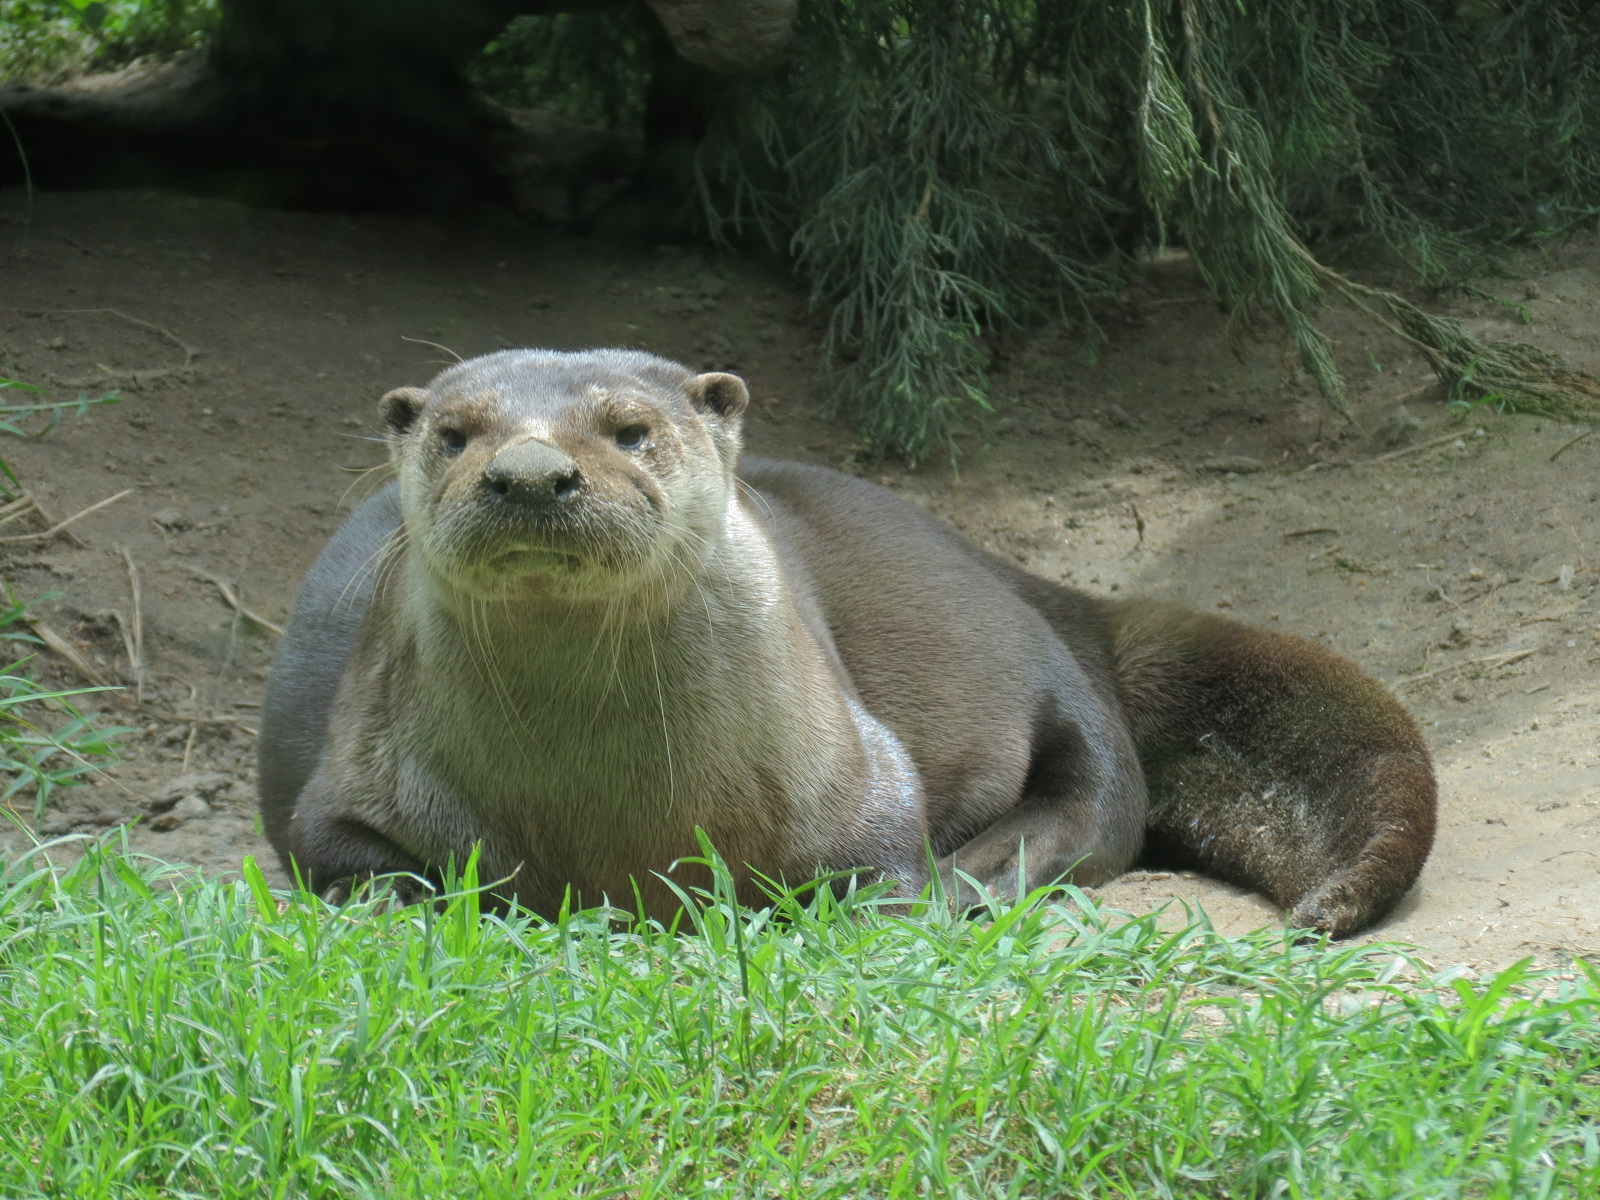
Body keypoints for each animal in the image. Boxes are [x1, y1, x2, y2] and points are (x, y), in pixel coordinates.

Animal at [259, 348, 1436, 936]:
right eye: (455, 435)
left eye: (631, 430)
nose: (531, 473)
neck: (614, 821)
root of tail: (1021, 579)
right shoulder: (351, 777)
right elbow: (338, 853)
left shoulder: (850, 772)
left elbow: (878, 852)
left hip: (1041, 665)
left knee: (1100, 798)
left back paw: (978, 876)